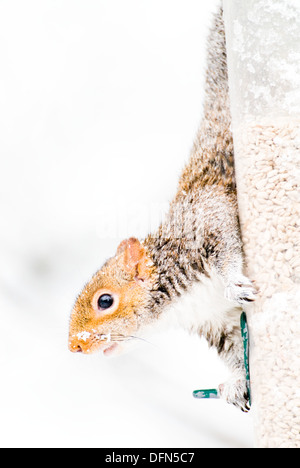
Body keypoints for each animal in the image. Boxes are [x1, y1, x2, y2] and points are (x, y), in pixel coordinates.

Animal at [68, 5, 255, 412]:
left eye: (105, 301)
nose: (74, 346)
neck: (182, 304)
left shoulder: (207, 219)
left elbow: (227, 247)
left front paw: (233, 283)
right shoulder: (219, 324)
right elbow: (237, 351)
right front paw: (236, 385)